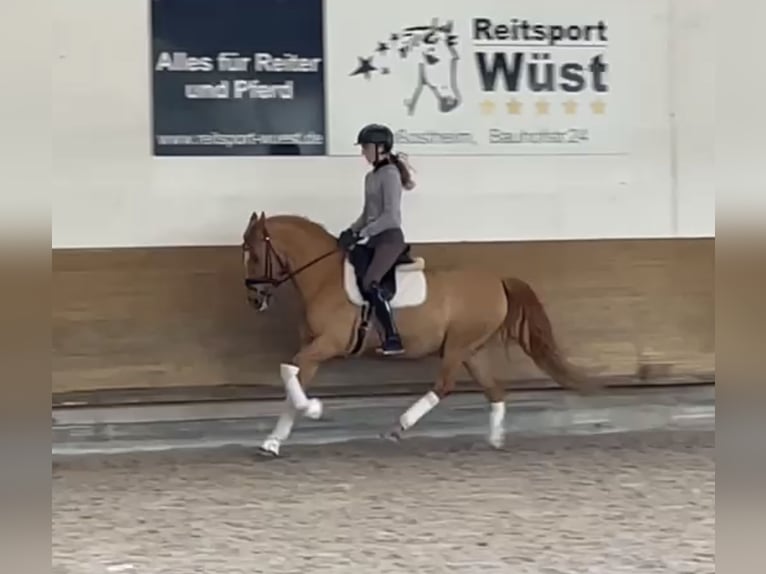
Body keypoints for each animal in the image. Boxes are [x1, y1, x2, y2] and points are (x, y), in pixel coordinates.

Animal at [243, 213, 596, 460]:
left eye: (256, 255)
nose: (254, 299)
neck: (324, 278)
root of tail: (497, 280)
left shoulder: (328, 345)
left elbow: (289, 373)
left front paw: (314, 409)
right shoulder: (313, 349)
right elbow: (293, 381)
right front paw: (272, 443)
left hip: (457, 348)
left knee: (445, 385)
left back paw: (400, 426)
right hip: (472, 351)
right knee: (494, 390)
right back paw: (494, 441)